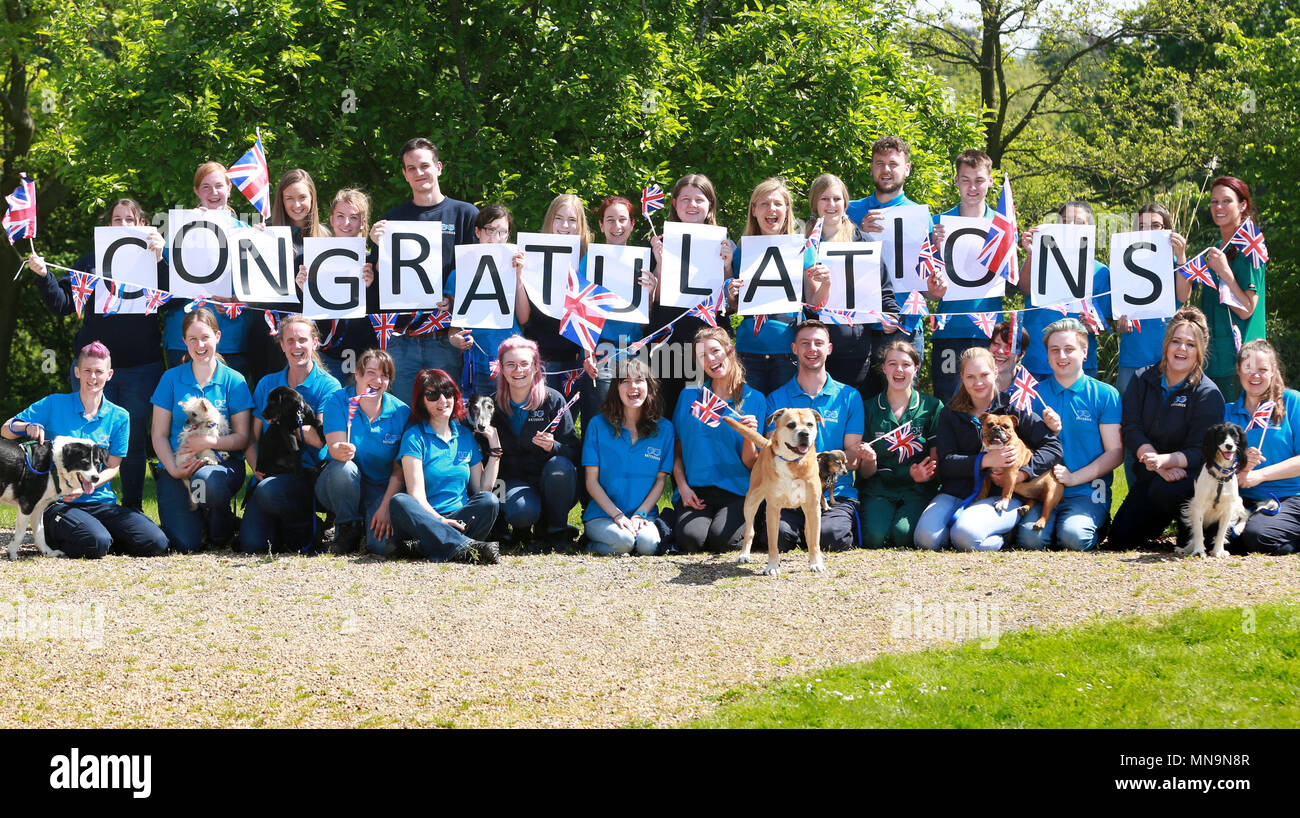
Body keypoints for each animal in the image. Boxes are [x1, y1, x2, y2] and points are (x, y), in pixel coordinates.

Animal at [722, 405, 821, 574]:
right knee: (749, 531)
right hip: (751, 501)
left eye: (810, 424)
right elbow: (773, 542)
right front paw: (772, 566)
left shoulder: (813, 506)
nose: (804, 434)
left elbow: (814, 539)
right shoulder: (773, 508)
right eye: (791, 425)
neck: (793, 462)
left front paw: (815, 563)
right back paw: (744, 555)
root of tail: (767, 443)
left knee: (810, 533)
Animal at [1180, 423, 1248, 559]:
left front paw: (1218, 551)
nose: (1229, 446)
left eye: (1235, 435)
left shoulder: (1228, 508)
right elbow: (1198, 531)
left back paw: (1238, 528)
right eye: (1221, 435)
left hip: (1238, 502)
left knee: (1246, 514)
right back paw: (1186, 548)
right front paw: (1199, 551)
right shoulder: (1197, 506)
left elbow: (1221, 532)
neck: (1220, 477)